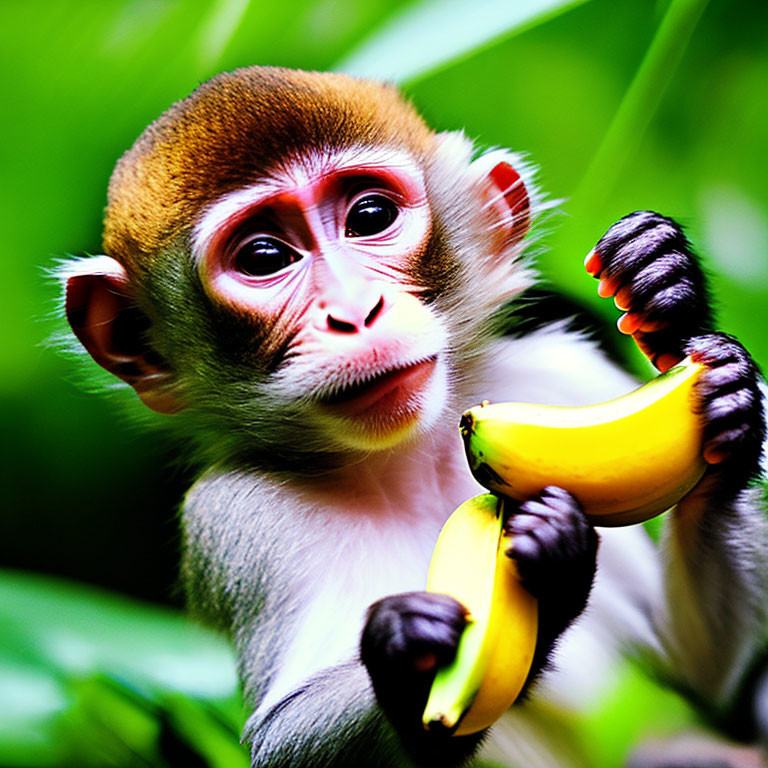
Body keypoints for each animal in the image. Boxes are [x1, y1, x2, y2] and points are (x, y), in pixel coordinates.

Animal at [60, 67, 768, 768]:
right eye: (263, 258)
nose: (355, 311)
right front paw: (410, 653)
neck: (412, 460)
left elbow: (697, 678)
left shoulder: (559, 372)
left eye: (370, 216)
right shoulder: (234, 518)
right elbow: (279, 743)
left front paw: (687, 321)